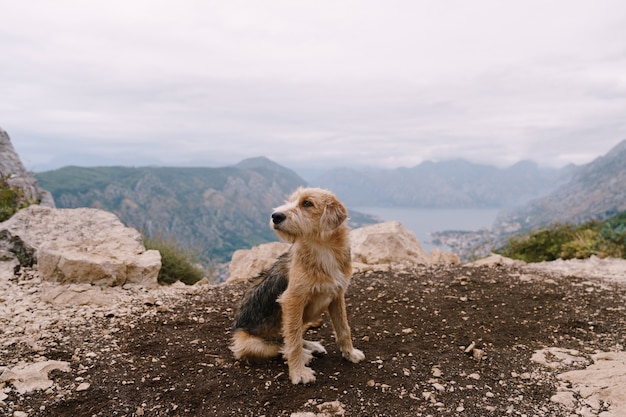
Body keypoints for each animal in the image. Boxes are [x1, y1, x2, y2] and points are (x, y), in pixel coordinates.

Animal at [232, 187, 364, 382]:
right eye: (289, 201)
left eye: (307, 203)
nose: (275, 216)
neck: (323, 249)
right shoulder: (292, 300)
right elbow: (292, 341)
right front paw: (299, 373)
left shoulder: (337, 295)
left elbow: (343, 328)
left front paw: (350, 354)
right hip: (247, 343)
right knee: (281, 345)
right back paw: (304, 355)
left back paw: (311, 347)